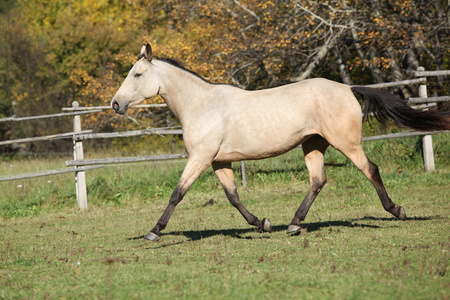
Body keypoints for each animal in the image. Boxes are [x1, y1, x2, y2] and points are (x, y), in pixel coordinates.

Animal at [111, 43, 450, 241]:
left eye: (137, 74)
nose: (115, 104)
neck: (202, 105)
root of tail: (348, 88)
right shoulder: (220, 161)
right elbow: (233, 197)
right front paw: (262, 223)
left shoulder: (201, 158)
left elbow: (177, 193)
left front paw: (154, 232)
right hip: (313, 144)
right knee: (318, 180)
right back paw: (293, 224)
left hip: (347, 143)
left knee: (371, 170)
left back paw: (397, 210)